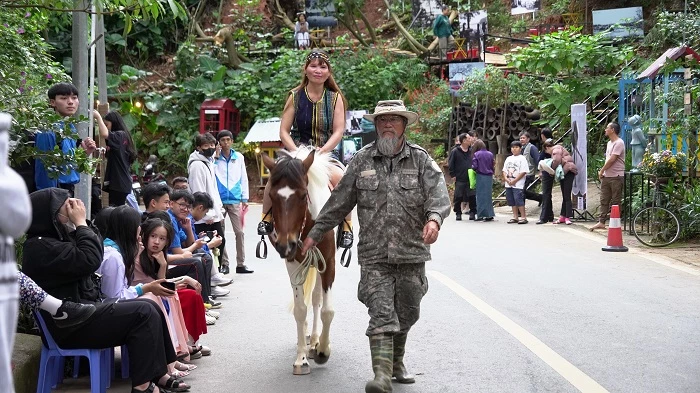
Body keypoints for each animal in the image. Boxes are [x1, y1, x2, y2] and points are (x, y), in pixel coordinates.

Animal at [264, 147, 338, 374]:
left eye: (303, 195)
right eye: (271, 196)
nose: (284, 244)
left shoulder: (329, 262)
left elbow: (327, 310)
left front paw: (322, 350)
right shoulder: (293, 262)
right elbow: (300, 310)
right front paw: (301, 358)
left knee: (316, 299)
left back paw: (314, 342)